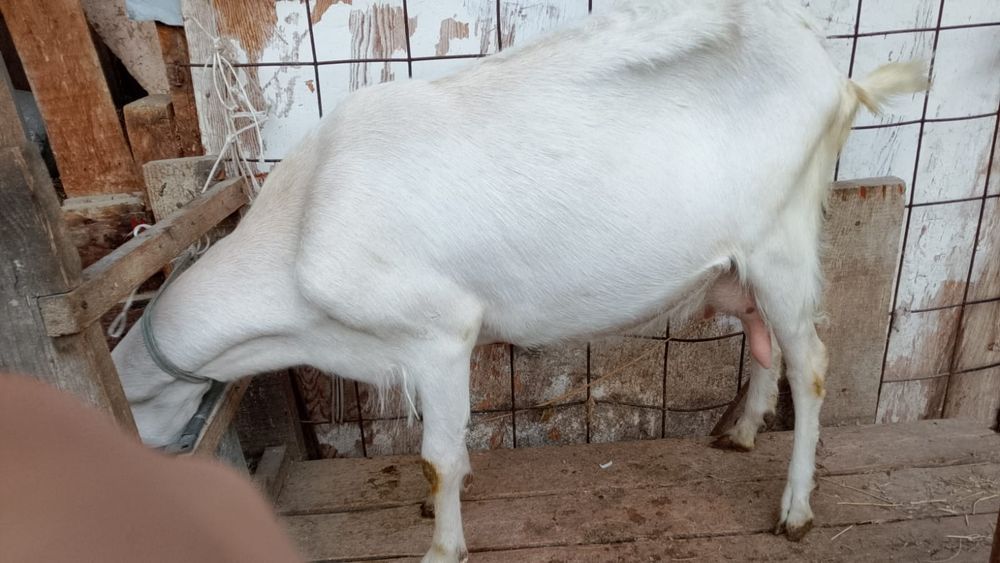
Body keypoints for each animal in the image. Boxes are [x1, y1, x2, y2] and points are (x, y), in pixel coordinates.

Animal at [111, 1, 927, 560]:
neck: (303, 225)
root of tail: (838, 77)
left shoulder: (438, 329)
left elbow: (436, 453)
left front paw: (442, 544)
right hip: (746, 262)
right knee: (766, 341)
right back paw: (744, 429)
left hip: (782, 240)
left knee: (810, 363)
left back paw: (795, 510)